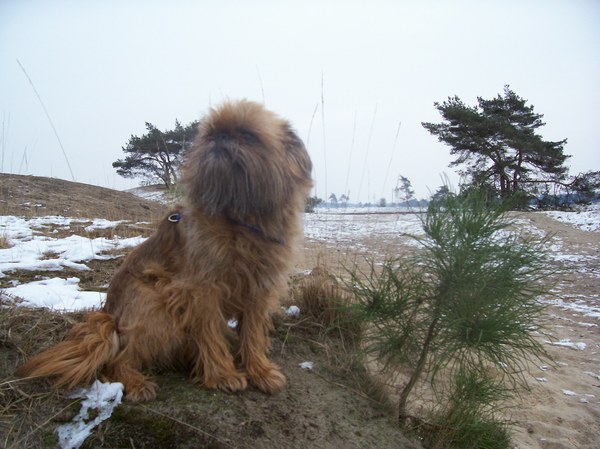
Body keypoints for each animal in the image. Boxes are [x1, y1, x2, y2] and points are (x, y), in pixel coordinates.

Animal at [14, 100, 314, 400]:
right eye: (209, 133)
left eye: (248, 134)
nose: (219, 137)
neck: (239, 219)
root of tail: (111, 317)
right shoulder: (202, 292)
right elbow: (210, 334)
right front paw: (222, 375)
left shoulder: (258, 291)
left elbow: (252, 334)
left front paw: (259, 371)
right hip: (157, 305)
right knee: (117, 360)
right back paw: (136, 383)